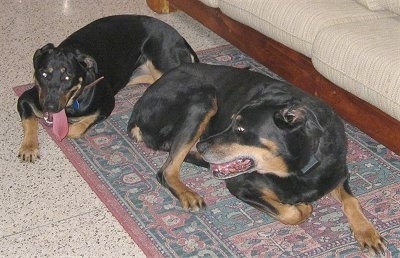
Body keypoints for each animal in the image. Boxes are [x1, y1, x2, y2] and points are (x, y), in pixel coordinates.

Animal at [16, 14, 198, 161]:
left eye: (67, 77)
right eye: (43, 74)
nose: (51, 107)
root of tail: (181, 39)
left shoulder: (106, 104)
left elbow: (77, 128)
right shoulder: (26, 99)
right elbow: (29, 120)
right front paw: (29, 147)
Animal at [127, 63, 384, 255]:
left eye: (240, 129)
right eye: (231, 121)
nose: (202, 145)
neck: (298, 168)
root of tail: (138, 106)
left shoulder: (337, 171)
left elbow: (351, 200)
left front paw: (367, 232)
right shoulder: (240, 184)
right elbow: (291, 213)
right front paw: (302, 207)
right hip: (203, 98)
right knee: (167, 170)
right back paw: (188, 192)